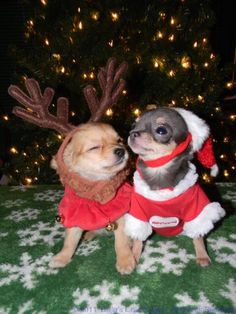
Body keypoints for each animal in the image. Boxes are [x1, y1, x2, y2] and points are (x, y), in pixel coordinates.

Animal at [48, 122, 136, 274]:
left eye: (119, 141)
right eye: (94, 147)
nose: (121, 150)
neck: (94, 191)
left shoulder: (122, 218)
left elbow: (121, 243)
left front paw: (125, 261)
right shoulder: (75, 217)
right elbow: (69, 242)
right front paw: (62, 257)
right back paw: (88, 234)